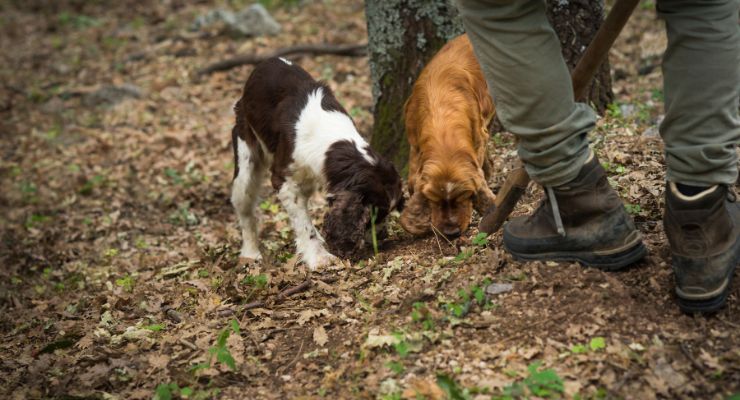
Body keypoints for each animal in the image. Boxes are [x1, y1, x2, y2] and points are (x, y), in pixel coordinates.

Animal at [233, 57, 402, 268]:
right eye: (375, 214)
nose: (383, 236)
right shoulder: (284, 180)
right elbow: (304, 224)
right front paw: (320, 257)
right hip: (245, 160)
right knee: (245, 208)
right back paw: (250, 253)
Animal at [398, 34, 498, 238]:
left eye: (465, 196)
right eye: (434, 200)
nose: (451, 232)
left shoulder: (478, 137)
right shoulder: (414, 143)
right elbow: (412, 180)